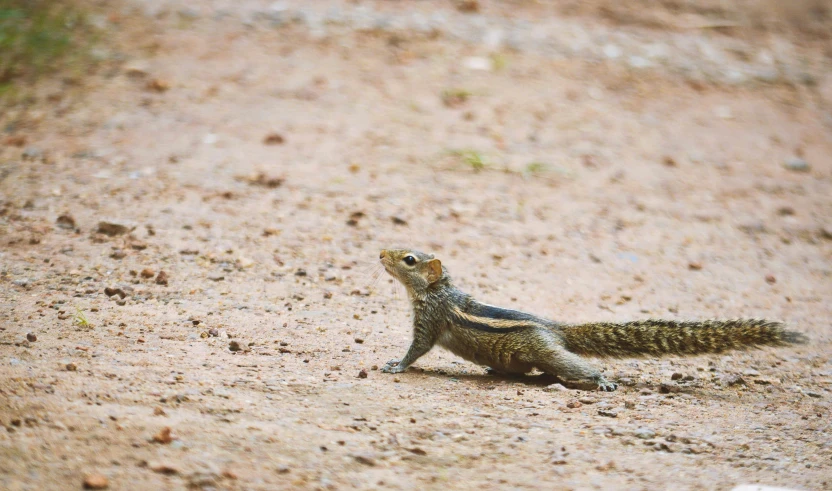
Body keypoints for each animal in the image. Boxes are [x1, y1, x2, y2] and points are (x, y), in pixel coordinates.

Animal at [376, 250, 808, 392]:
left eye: (408, 260)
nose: (381, 253)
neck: (438, 290)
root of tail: (557, 329)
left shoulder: (430, 321)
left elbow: (417, 349)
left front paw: (394, 365)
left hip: (546, 351)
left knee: (574, 365)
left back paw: (601, 380)